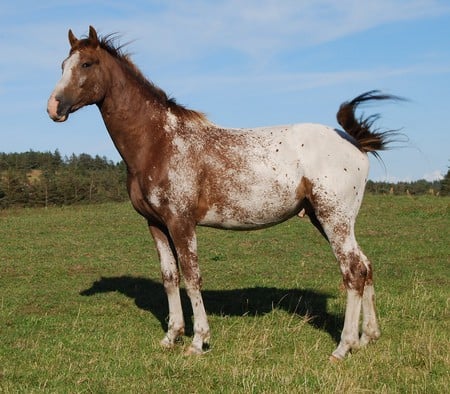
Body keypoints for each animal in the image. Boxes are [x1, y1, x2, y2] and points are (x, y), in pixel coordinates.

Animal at [48, 26, 400, 362]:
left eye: (87, 64)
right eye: (63, 65)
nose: (54, 107)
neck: (159, 142)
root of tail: (354, 143)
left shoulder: (181, 223)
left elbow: (192, 277)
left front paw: (198, 341)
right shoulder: (156, 224)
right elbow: (170, 277)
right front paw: (172, 337)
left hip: (333, 219)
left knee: (353, 272)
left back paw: (343, 347)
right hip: (328, 220)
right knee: (366, 267)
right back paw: (368, 337)